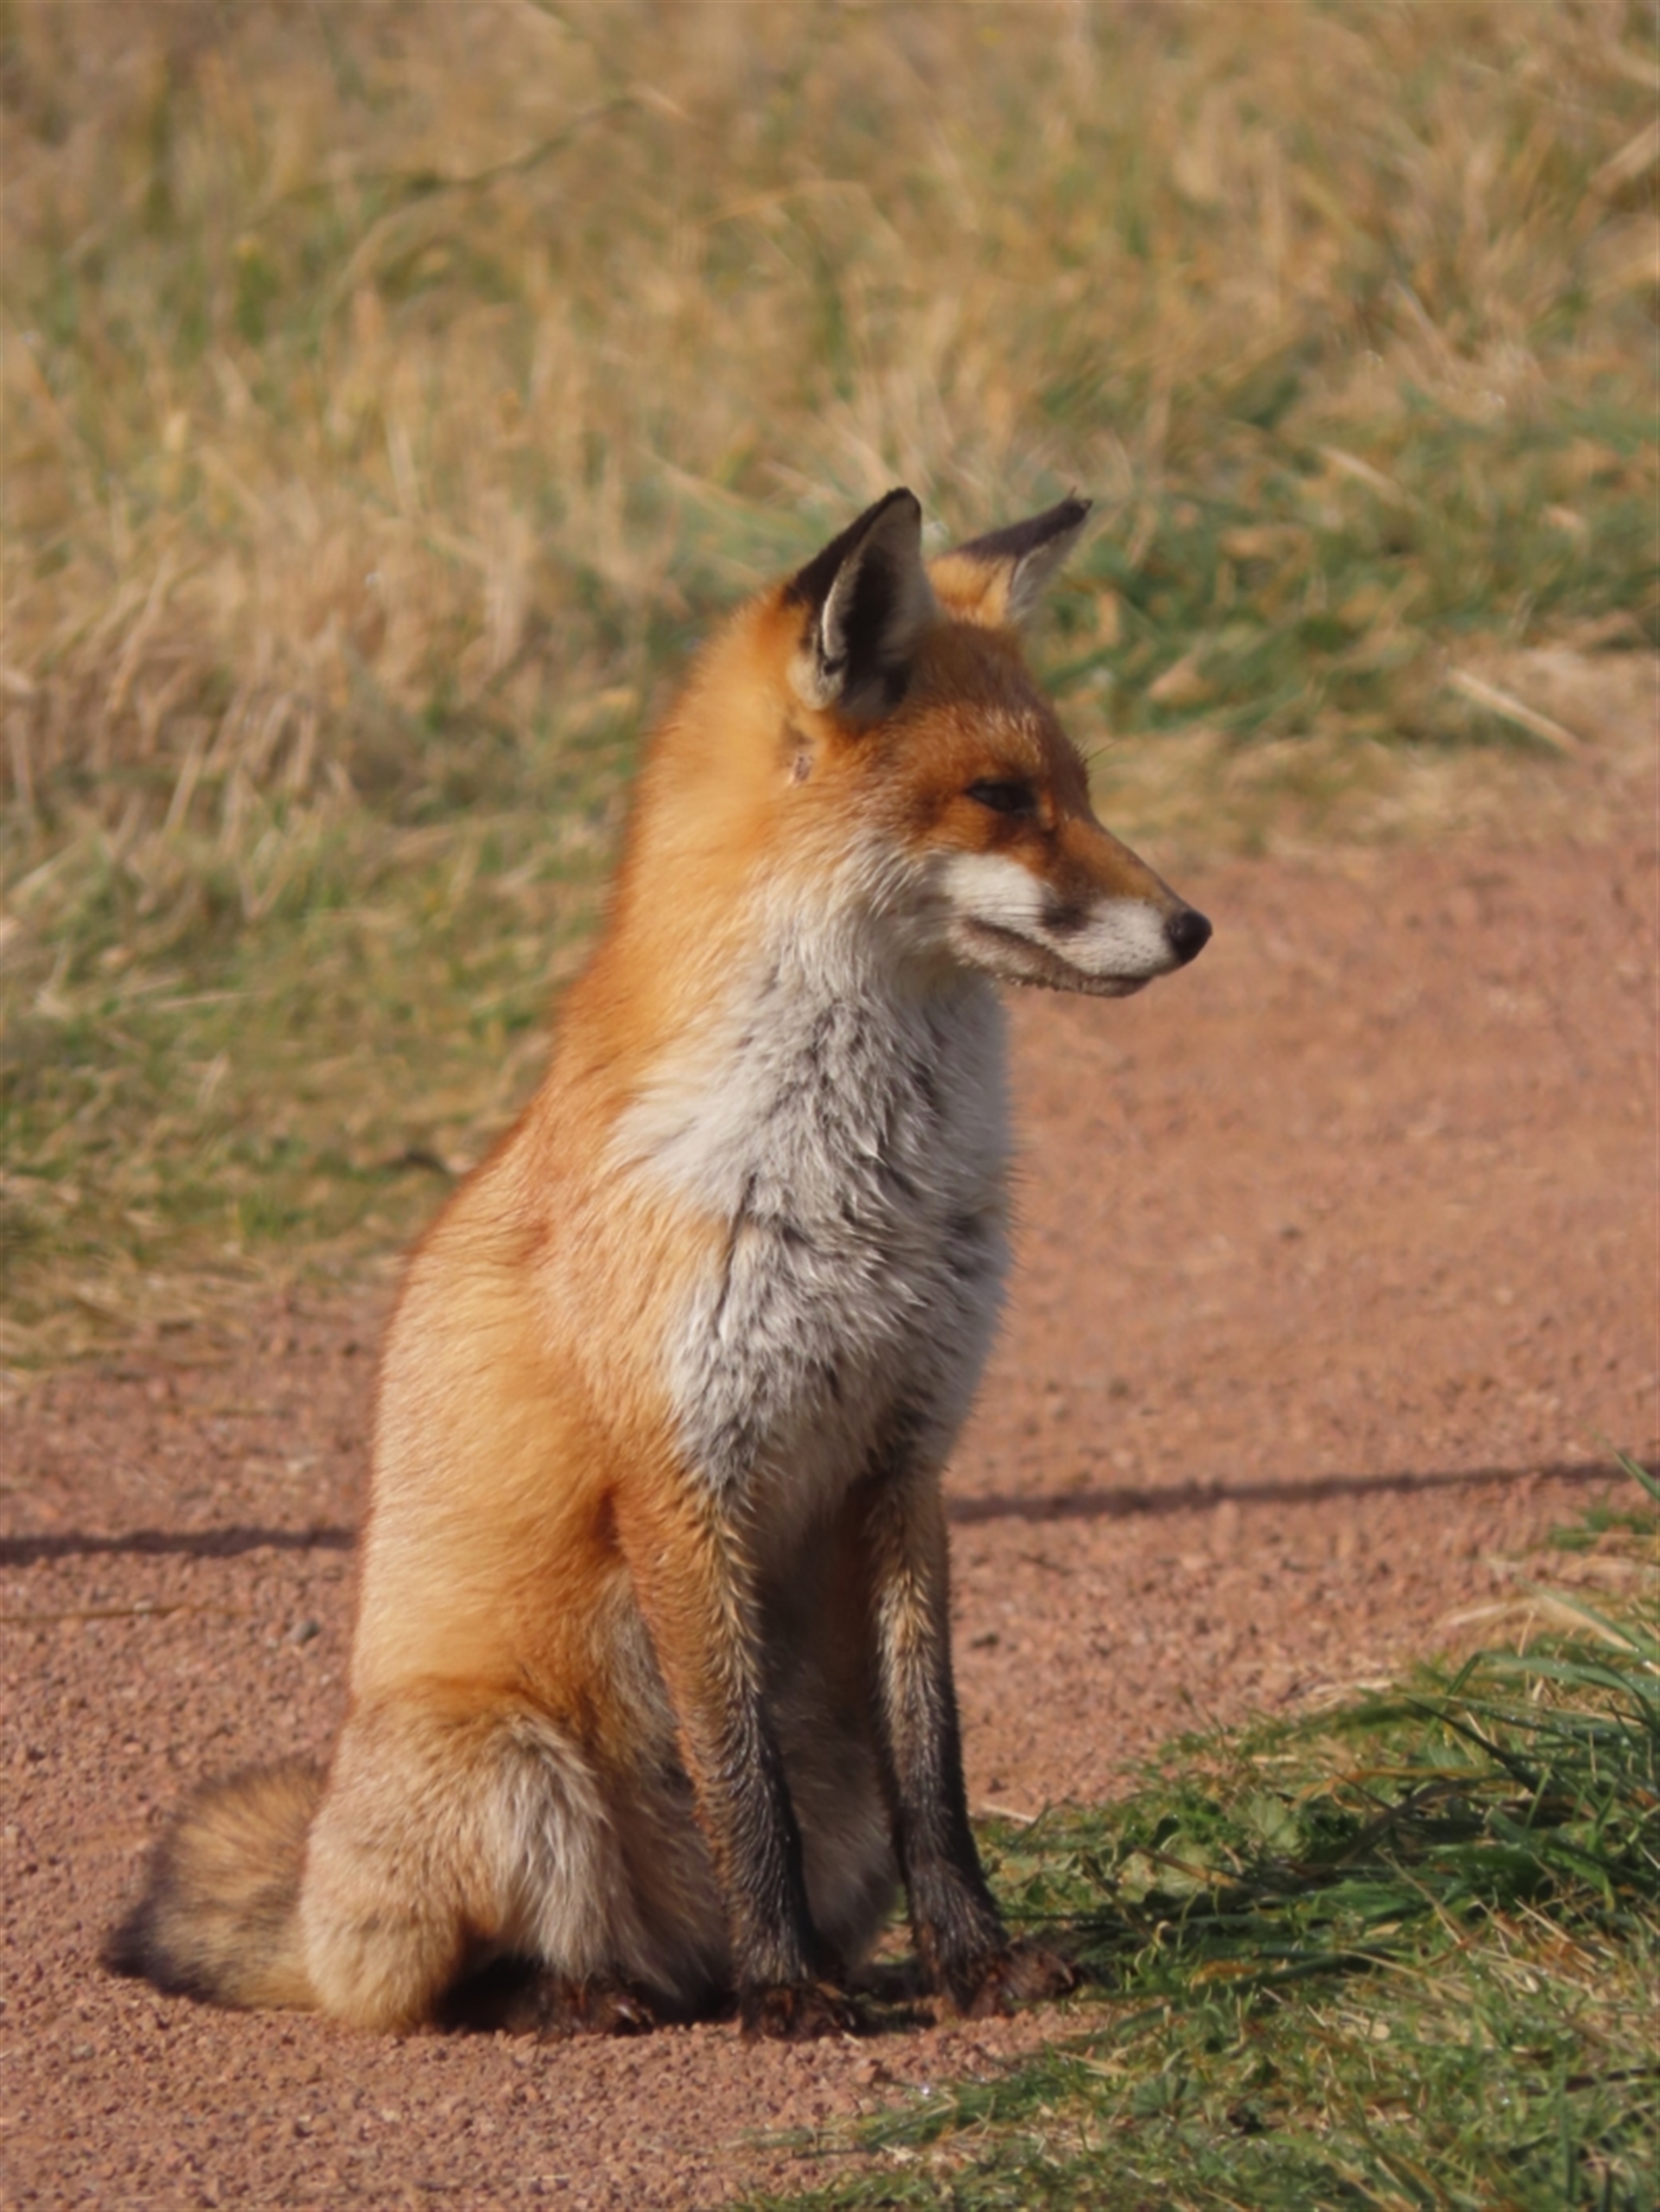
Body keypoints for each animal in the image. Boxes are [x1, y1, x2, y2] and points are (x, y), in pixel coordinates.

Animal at [107, 489, 1210, 2040]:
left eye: (1083, 788)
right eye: (1003, 798)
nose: (1192, 926)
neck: (854, 1182)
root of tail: (318, 1910)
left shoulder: (906, 1455)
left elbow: (937, 1765)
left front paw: (973, 1960)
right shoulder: (685, 1471)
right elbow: (741, 1782)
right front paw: (787, 1989)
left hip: (816, 1753)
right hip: (513, 1763)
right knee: (465, 1980)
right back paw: (612, 1992)